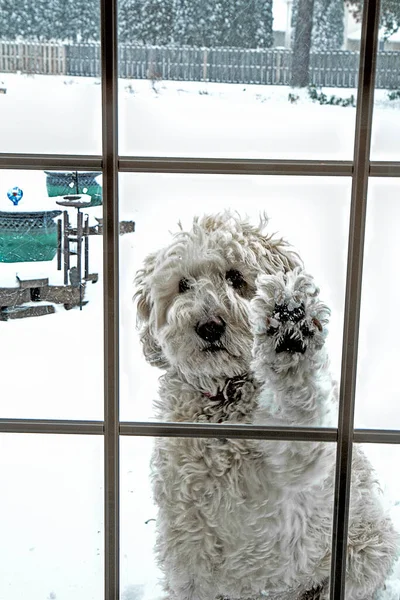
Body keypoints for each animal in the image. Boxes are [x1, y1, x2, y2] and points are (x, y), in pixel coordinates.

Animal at [136, 212, 398, 600]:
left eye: (235, 276)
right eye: (183, 284)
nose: (209, 327)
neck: (225, 401)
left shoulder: (305, 466)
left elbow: (301, 414)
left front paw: (289, 329)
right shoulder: (188, 544)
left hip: (366, 552)